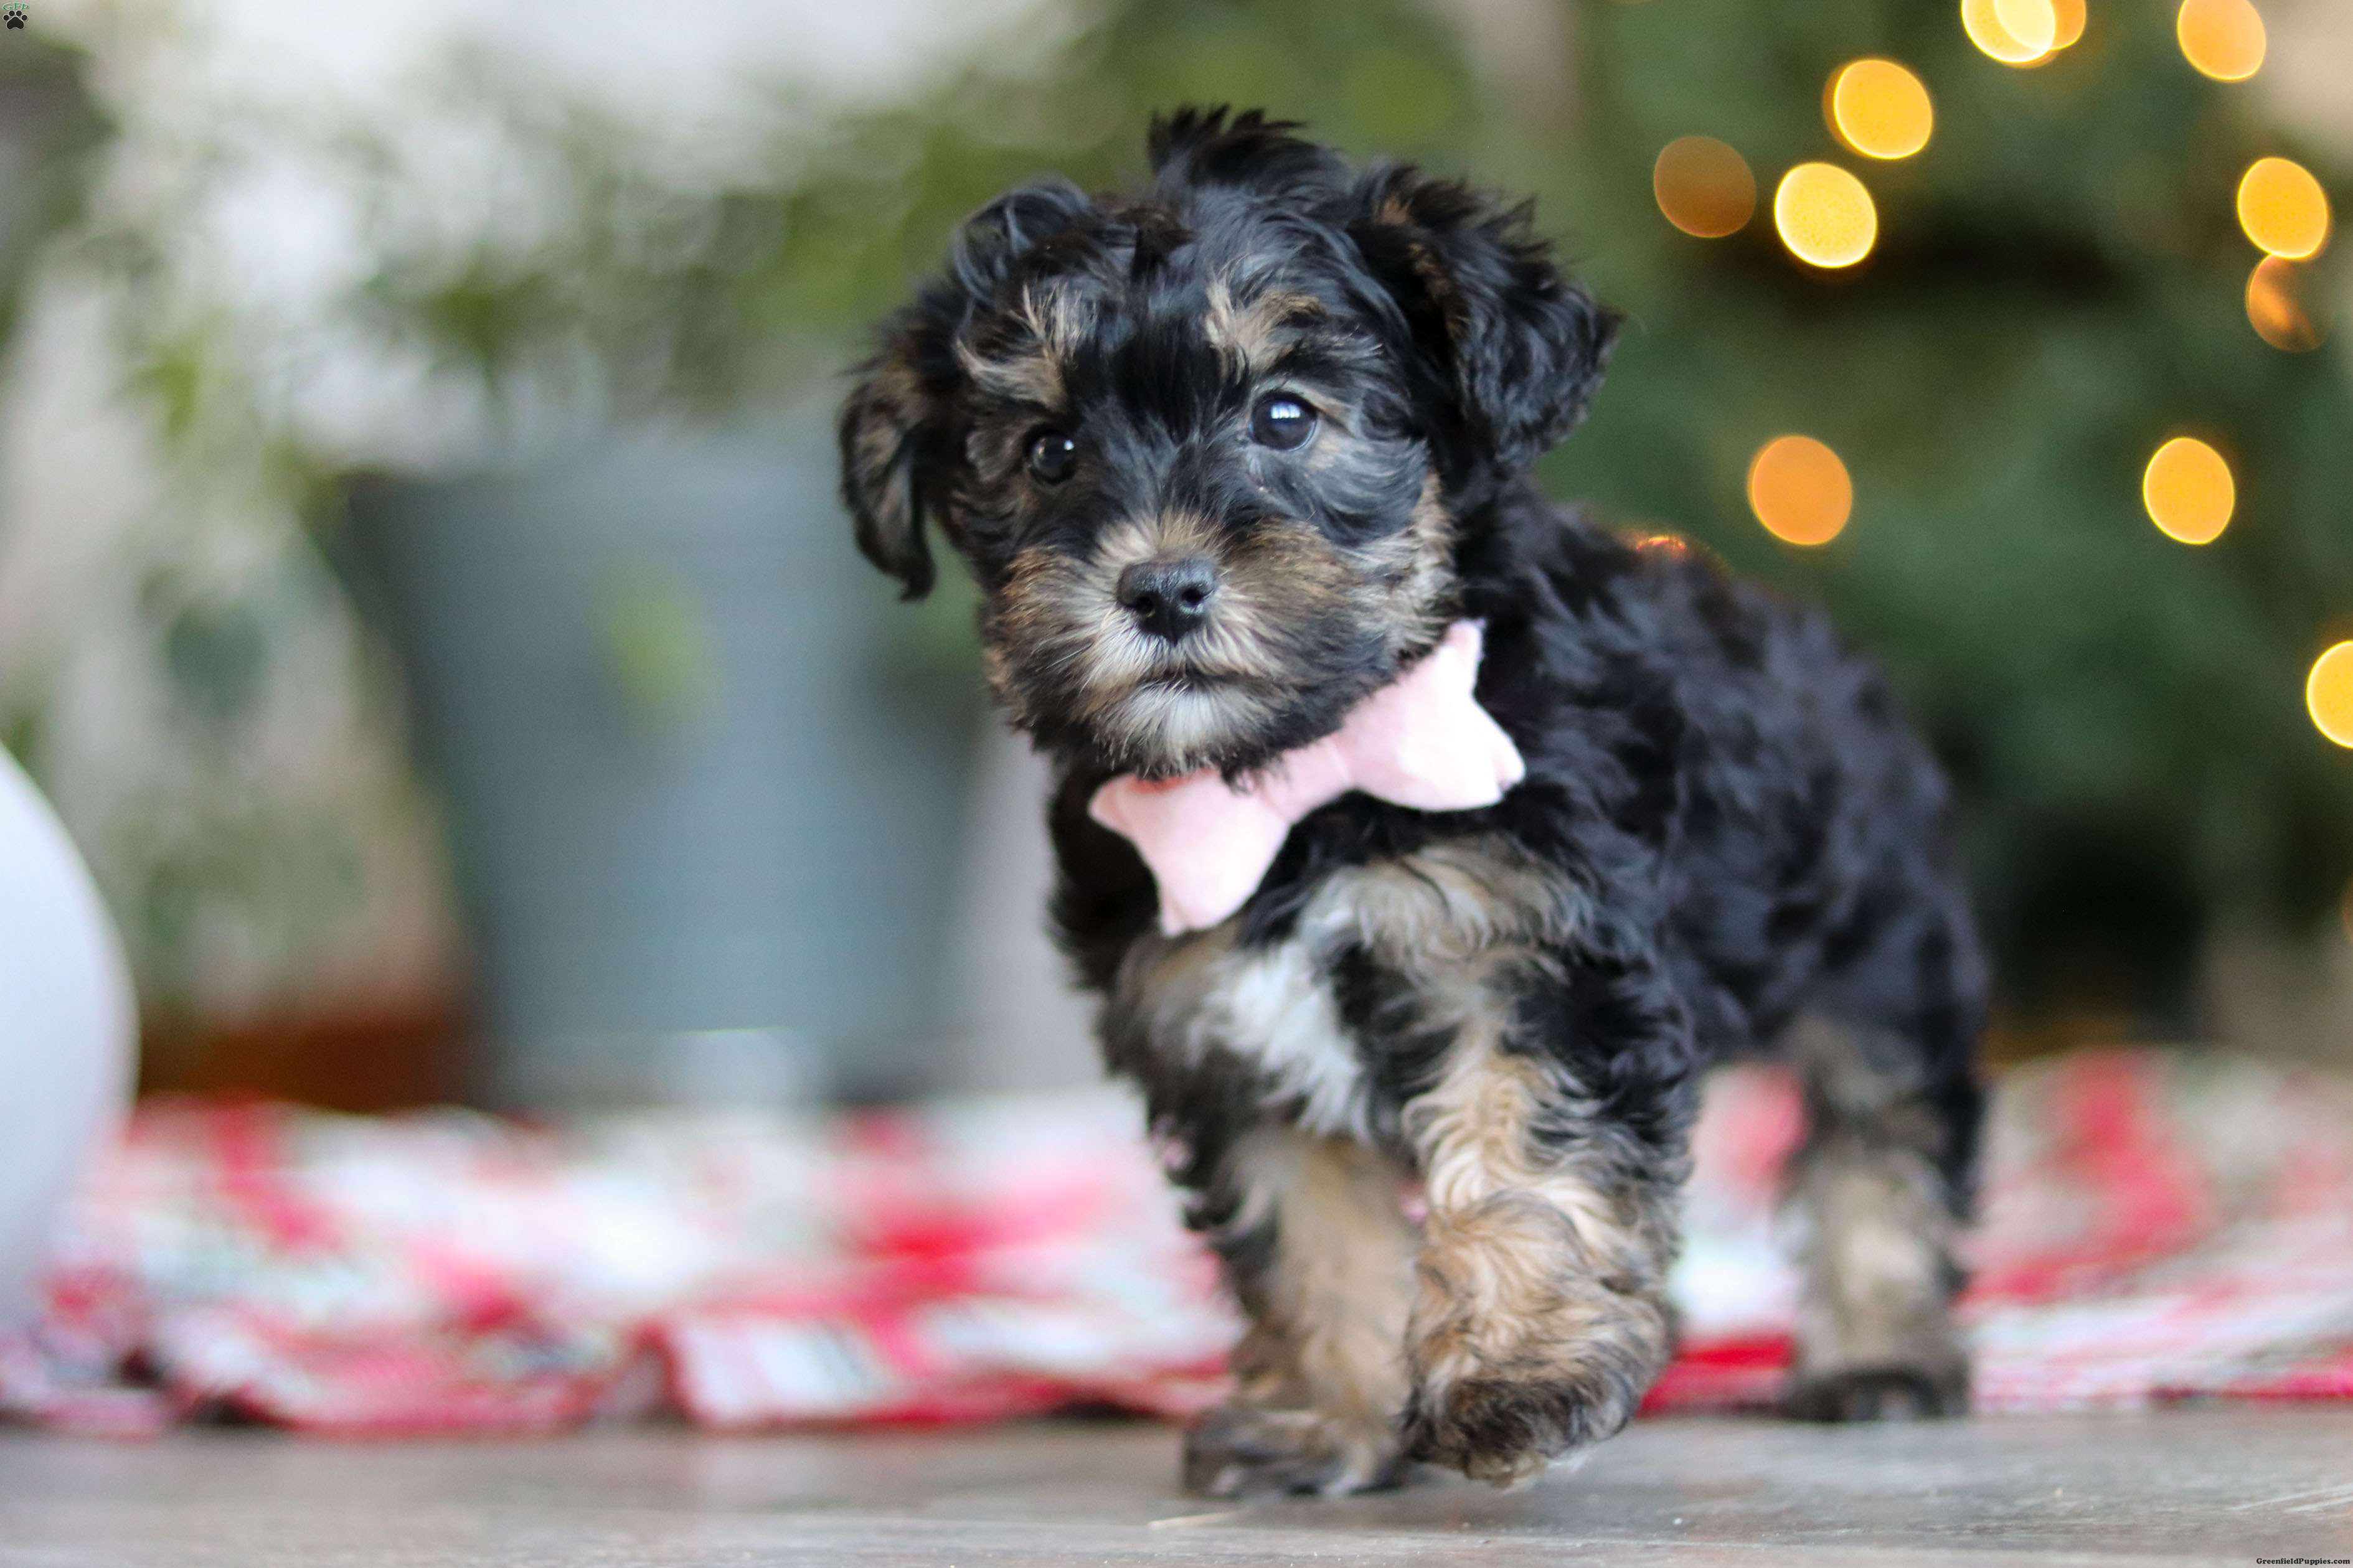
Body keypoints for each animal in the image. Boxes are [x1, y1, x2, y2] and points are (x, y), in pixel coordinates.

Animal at [837, 108, 1985, 1496]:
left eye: (1284, 415)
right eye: (1047, 450)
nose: (1160, 587)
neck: (1303, 779)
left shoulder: (1528, 955)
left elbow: (1526, 1155)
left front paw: (1514, 1374)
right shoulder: (1217, 1023)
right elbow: (1305, 1229)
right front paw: (1320, 1418)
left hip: (1877, 948)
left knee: (1884, 1129)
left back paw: (1878, 1351)